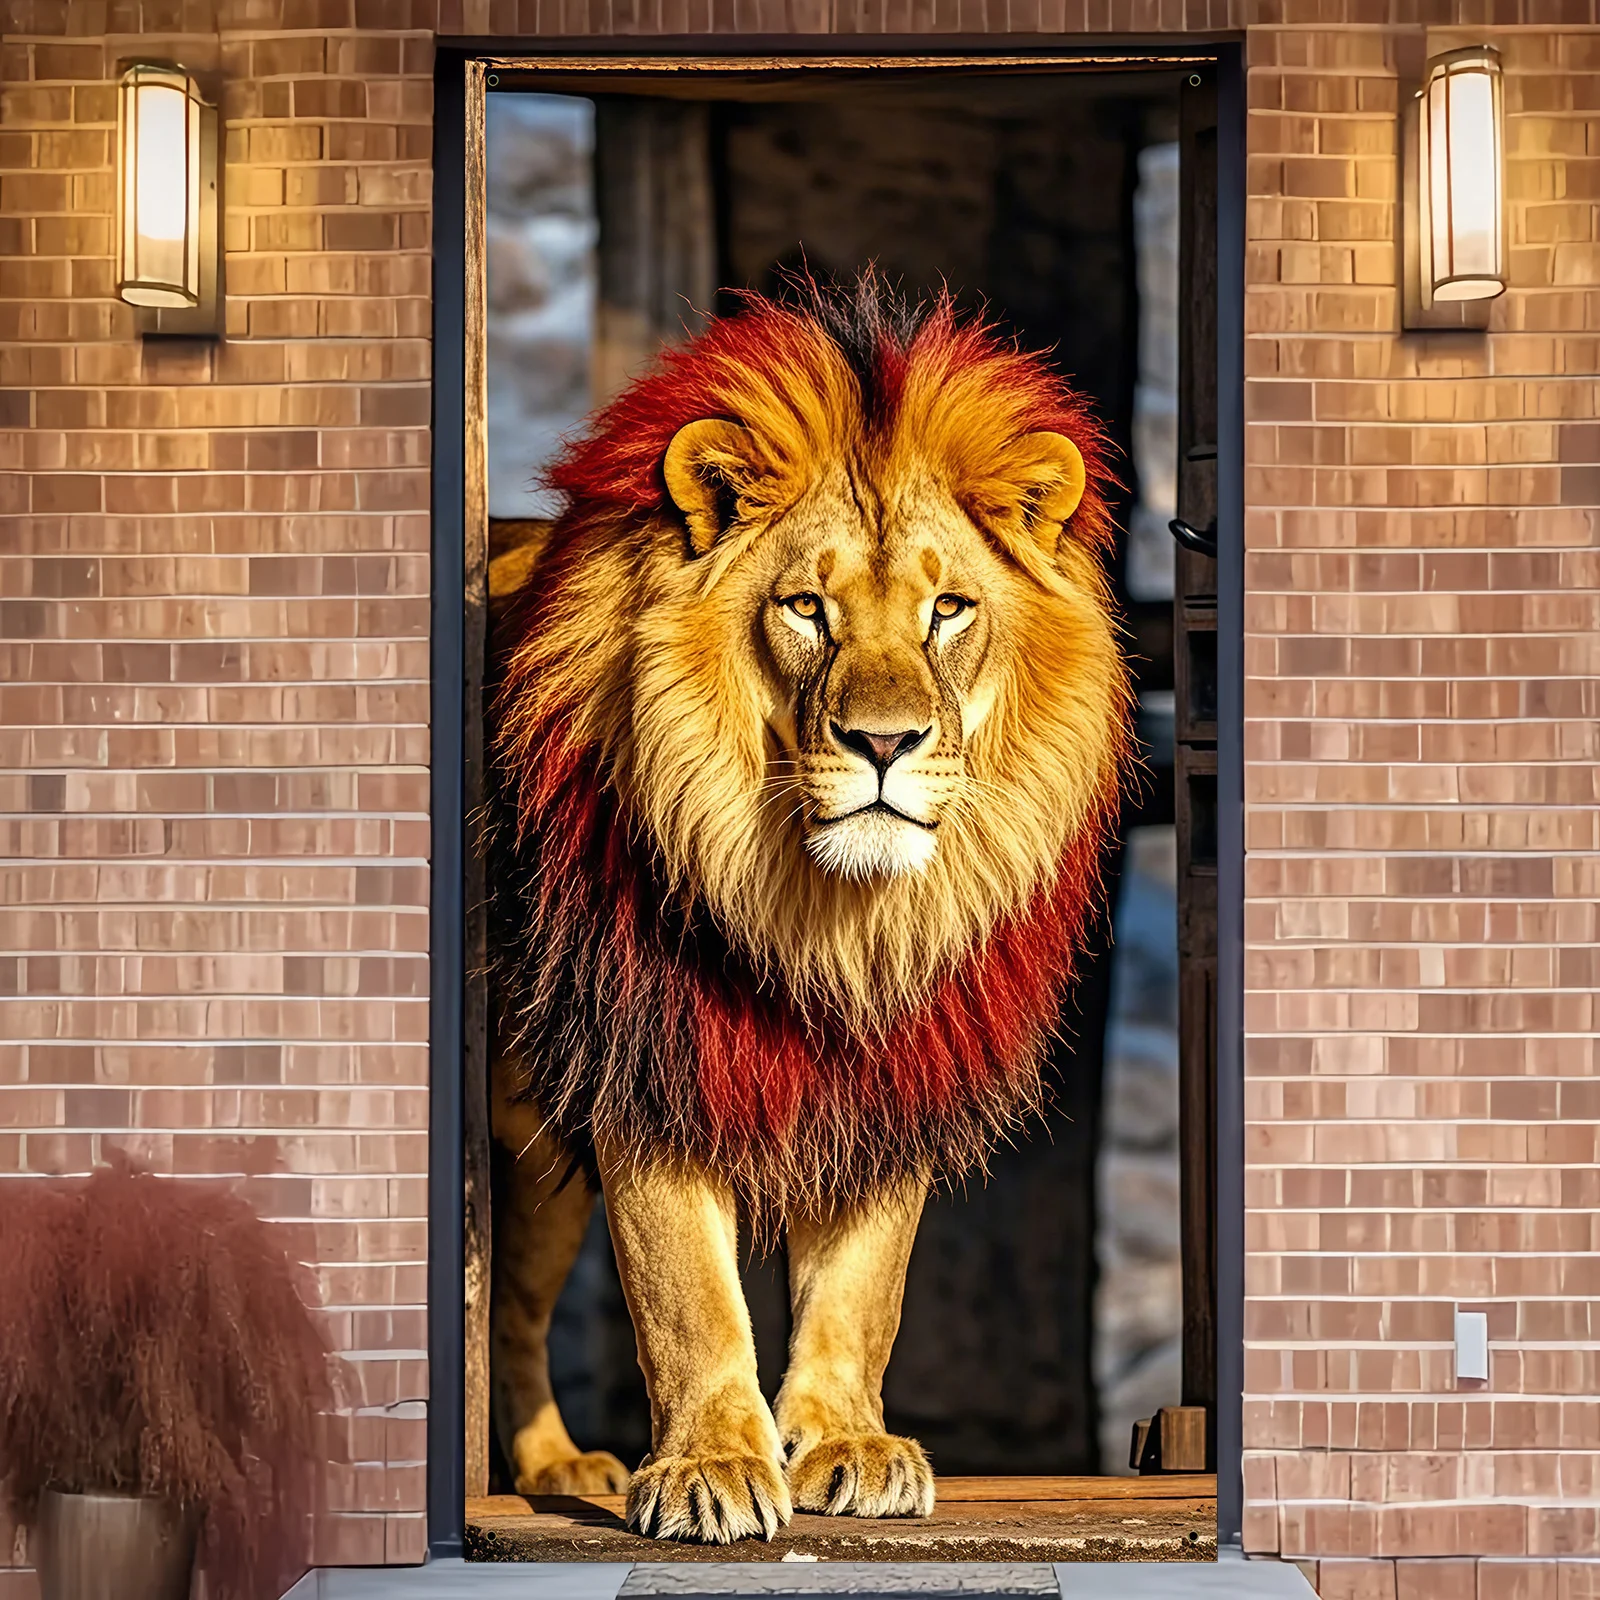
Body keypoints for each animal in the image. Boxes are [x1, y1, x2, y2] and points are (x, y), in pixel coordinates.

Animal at [486, 277, 1130, 1543]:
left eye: (947, 609)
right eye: (804, 609)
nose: (885, 743)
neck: (827, 913)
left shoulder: (894, 1062)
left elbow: (863, 1288)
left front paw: (844, 1441)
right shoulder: (649, 1054)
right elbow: (687, 1291)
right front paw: (711, 1466)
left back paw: (556, 1464)